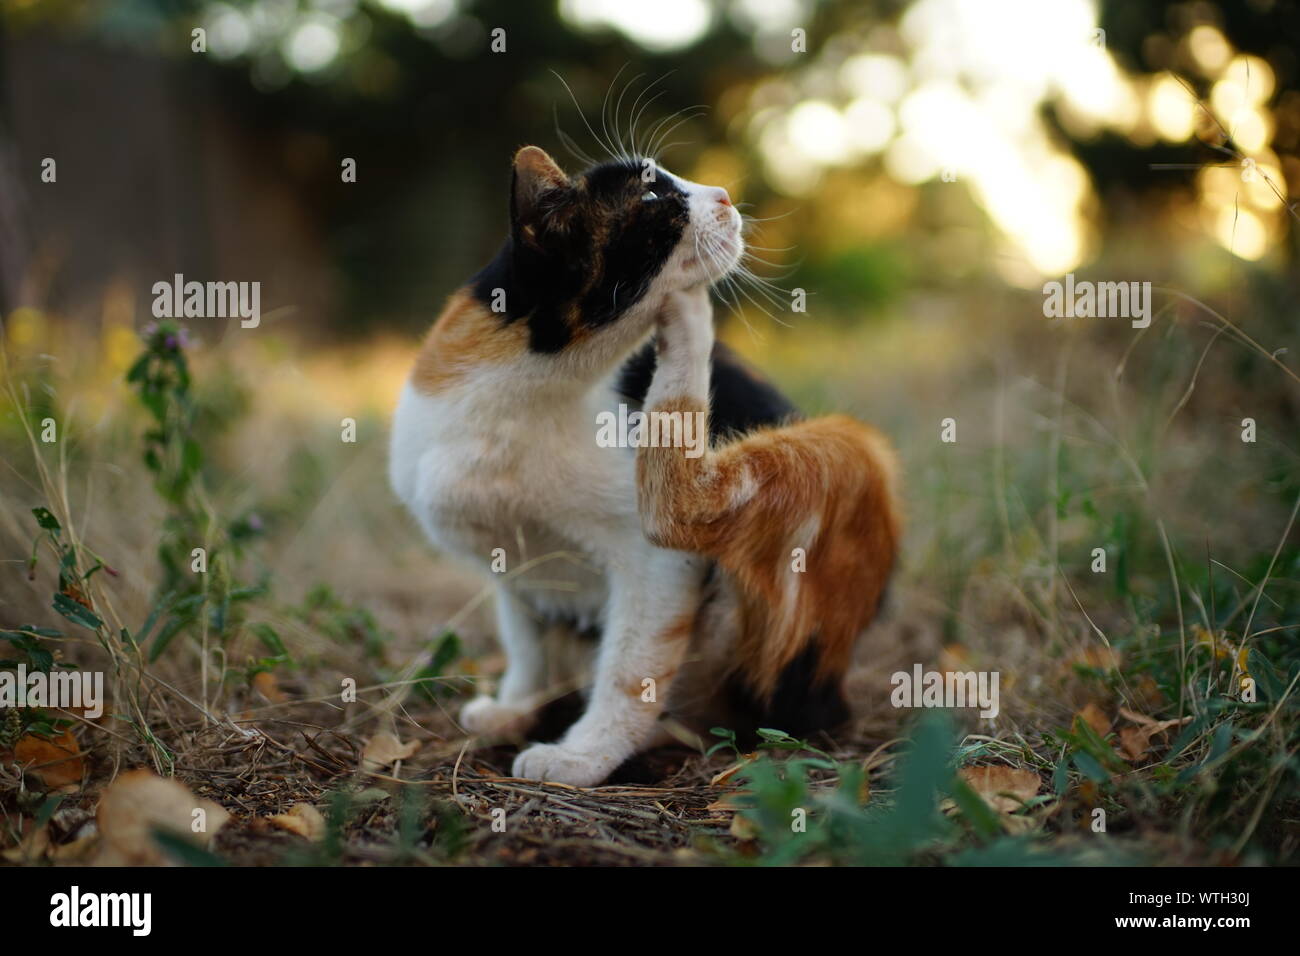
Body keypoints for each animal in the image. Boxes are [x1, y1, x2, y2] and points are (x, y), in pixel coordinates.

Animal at [384, 141, 899, 785]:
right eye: (652, 193)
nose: (725, 194)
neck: (521, 398)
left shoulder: (655, 565)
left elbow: (631, 670)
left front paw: (582, 755)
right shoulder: (513, 569)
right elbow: (526, 643)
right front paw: (516, 705)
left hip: (838, 459)